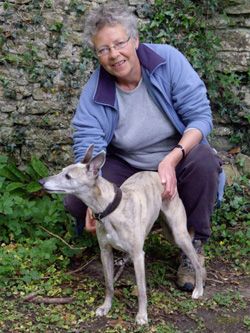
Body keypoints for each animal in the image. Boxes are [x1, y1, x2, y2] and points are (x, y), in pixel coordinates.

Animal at [39, 144, 203, 322]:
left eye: (68, 176)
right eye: (62, 171)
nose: (41, 181)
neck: (110, 208)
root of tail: (156, 173)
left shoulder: (139, 256)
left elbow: (141, 289)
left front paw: (142, 315)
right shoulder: (105, 252)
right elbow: (109, 284)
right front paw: (106, 307)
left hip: (178, 234)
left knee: (197, 261)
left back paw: (198, 289)